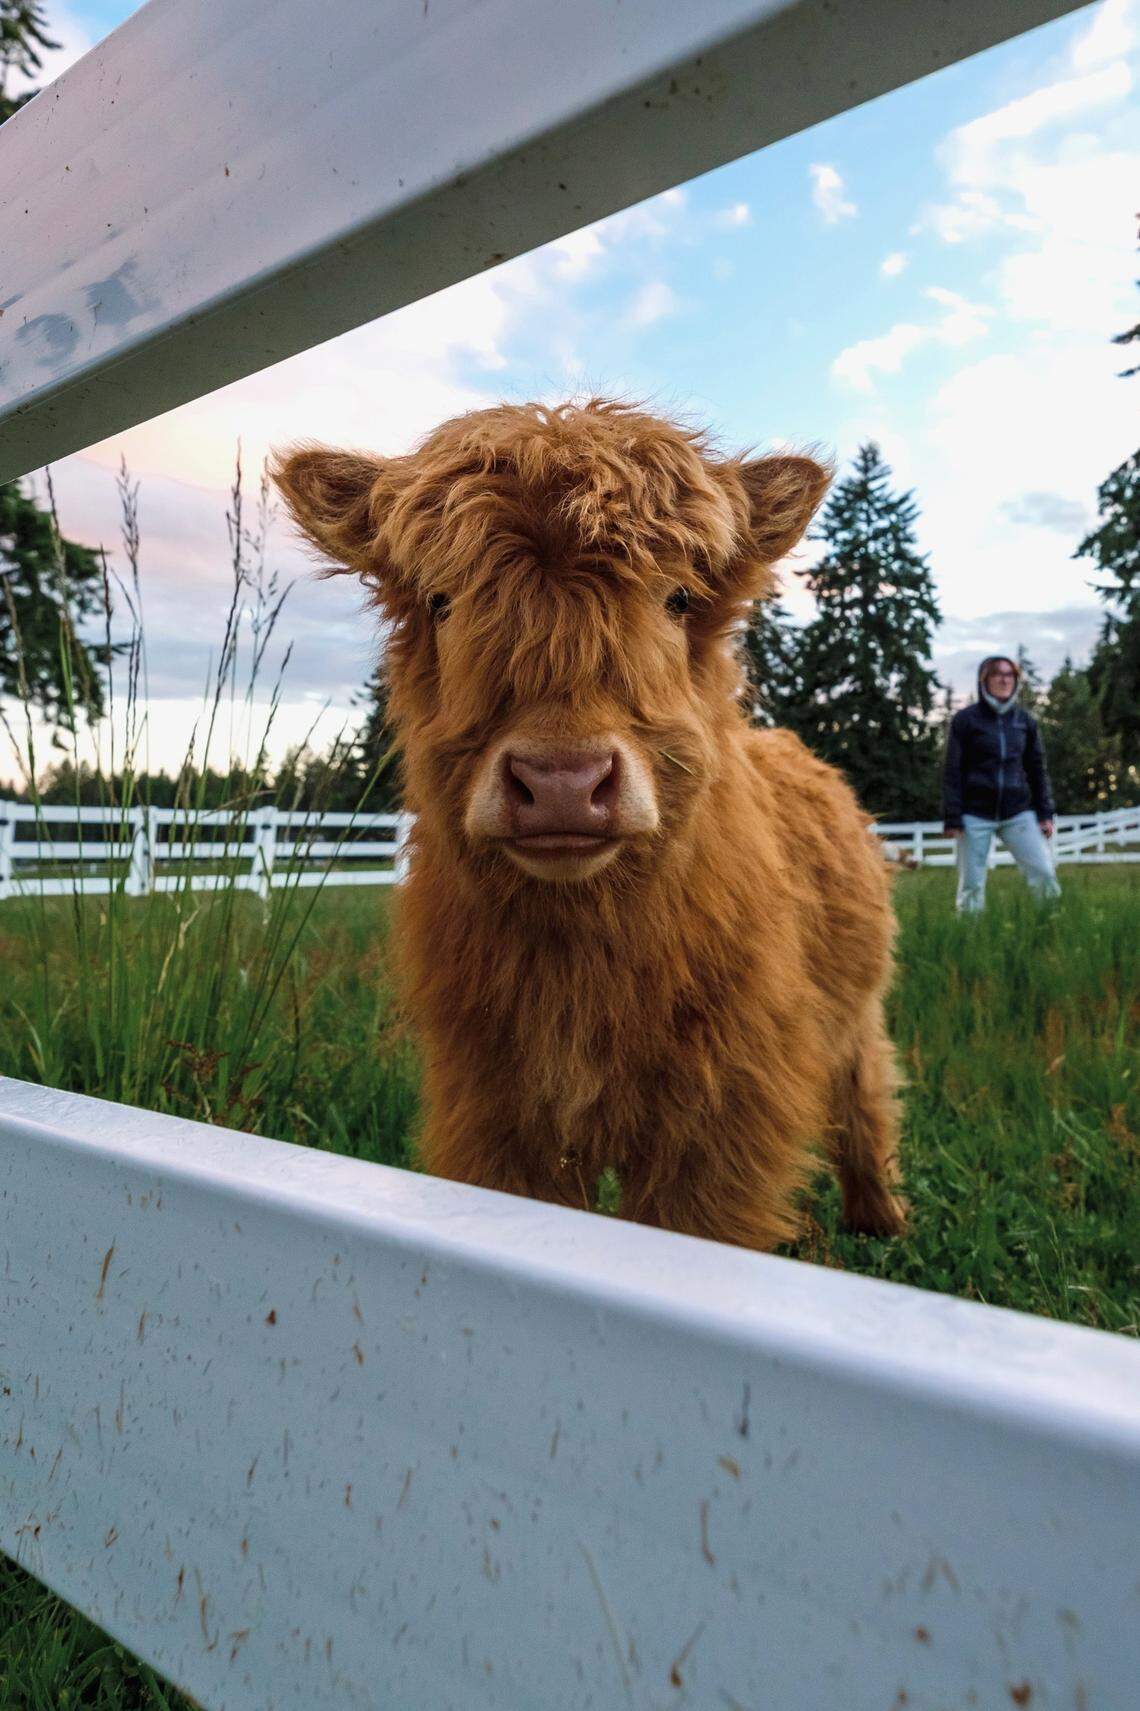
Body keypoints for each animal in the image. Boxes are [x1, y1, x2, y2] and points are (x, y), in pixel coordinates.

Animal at [273, 400, 906, 1251]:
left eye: (678, 598)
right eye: (442, 599)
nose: (562, 783)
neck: (582, 952)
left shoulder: (723, 1116)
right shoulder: (493, 1107)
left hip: (856, 1006)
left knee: (865, 1087)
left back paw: (880, 1216)